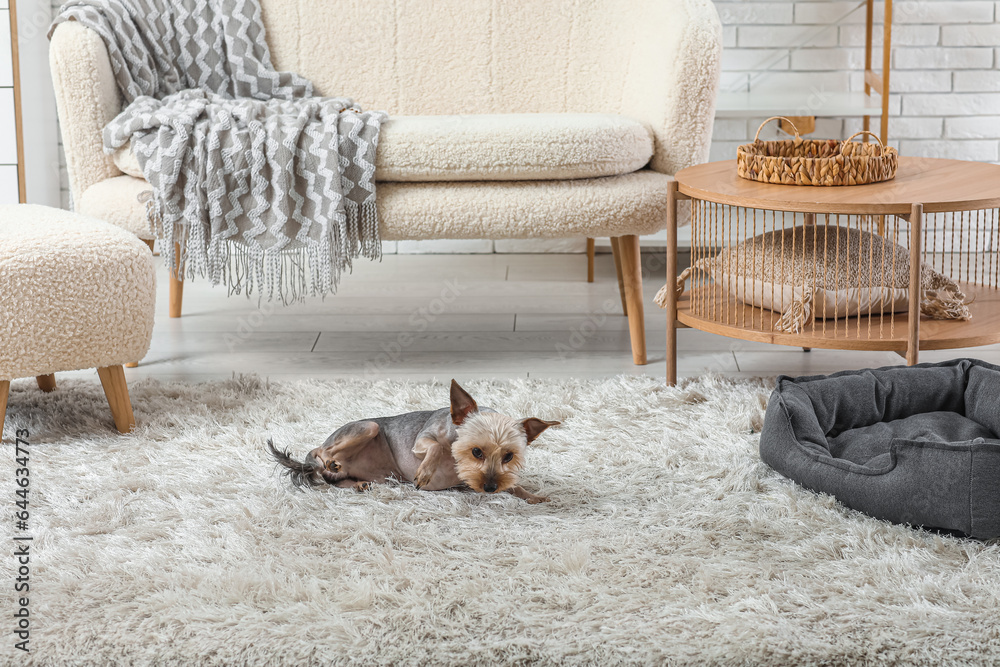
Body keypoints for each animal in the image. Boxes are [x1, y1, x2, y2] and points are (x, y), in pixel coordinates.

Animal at [270, 380, 560, 500]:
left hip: (373, 476)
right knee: (320, 450)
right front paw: (424, 473)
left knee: (335, 481)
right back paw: (331, 461)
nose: (489, 488)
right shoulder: (422, 440)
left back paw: (357, 483)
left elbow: (514, 487)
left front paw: (533, 496)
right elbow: (436, 446)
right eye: (476, 451)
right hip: (368, 427)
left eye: (508, 456)